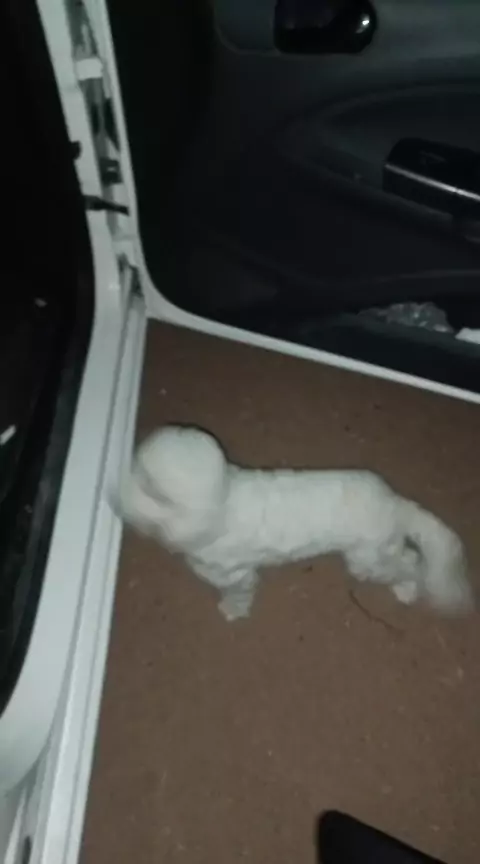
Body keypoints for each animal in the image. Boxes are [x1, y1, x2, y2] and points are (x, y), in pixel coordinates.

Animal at [116, 425, 473, 621]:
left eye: (150, 486)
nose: (115, 488)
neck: (220, 503)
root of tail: (393, 503)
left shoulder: (238, 576)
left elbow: (238, 595)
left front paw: (232, 611)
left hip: (367, 561)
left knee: (410, 565)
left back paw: (407, 589)